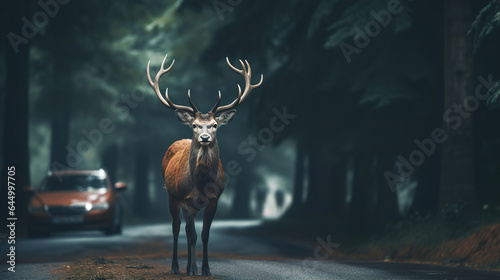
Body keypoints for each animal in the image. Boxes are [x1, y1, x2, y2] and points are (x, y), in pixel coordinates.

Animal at [146, 54, 264, 276]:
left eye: (214, 125)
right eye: (194, 125)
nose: (205, 137)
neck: (201, 183)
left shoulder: (214, 199)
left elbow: (204, 235)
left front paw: (206, 269)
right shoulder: (184, 199)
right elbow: (191, 234)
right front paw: (193, 270)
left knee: (185, 229)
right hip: (171, 196)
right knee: (176, 227)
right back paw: (176, 267)